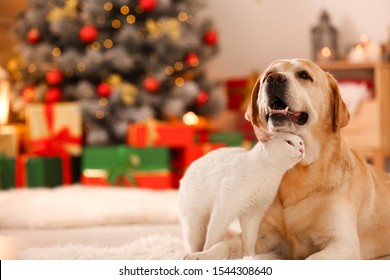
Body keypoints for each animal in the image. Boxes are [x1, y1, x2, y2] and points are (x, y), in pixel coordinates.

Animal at [177, 127, 304, 258]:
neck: (266, 174)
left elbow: (250, 240)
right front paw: (205, 254)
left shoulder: (253, 214)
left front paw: (250, 257)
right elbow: (212, 240)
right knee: (195, 243)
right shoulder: (223, 211)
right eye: (289, 142)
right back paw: (193, 254)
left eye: (301, 143)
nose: (302, 150)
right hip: (195, 225)